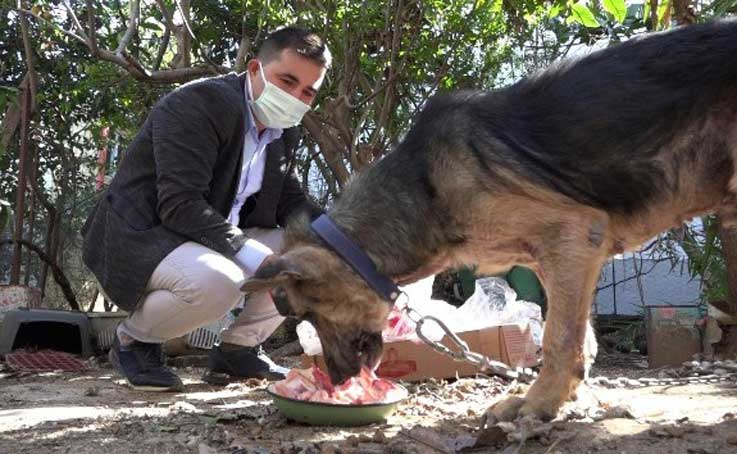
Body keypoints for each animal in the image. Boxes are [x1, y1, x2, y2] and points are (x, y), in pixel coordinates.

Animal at [244, 19, 736, 420]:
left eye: (306, 312)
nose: (338, 381)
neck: (426, 186)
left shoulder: (572, 239)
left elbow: (559, 339)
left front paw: (540, 403)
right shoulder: (560, 259)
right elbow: (580, 339)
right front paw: (565, 398)